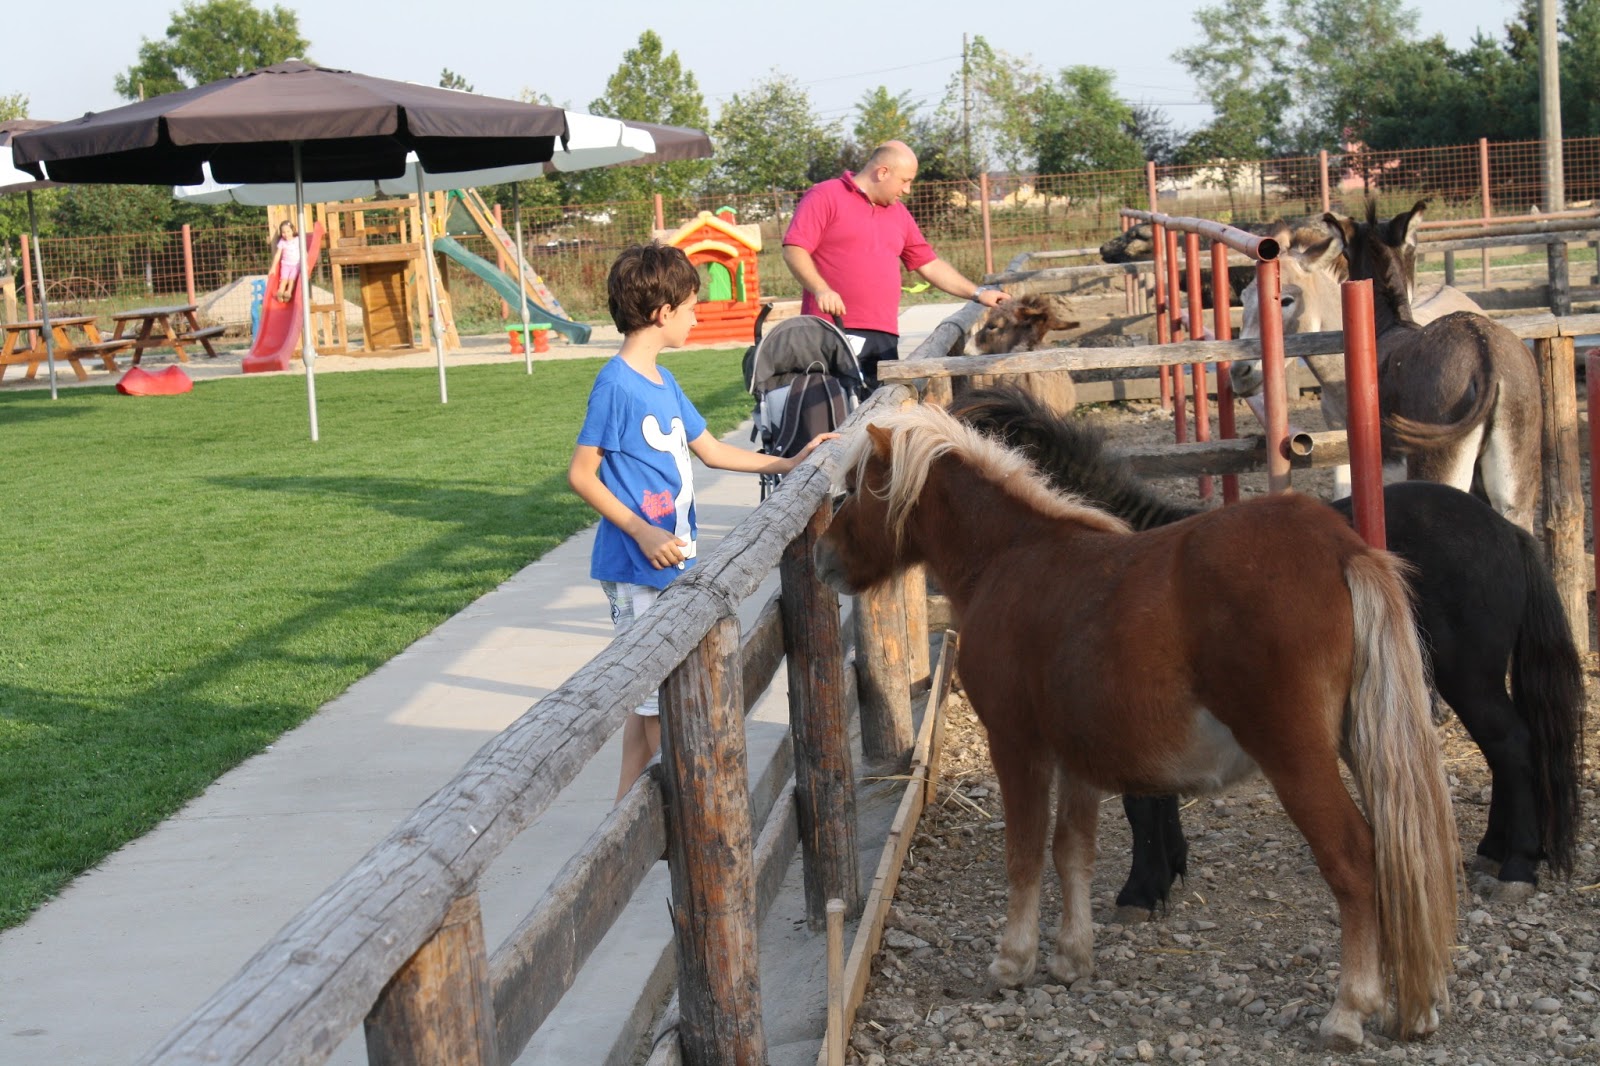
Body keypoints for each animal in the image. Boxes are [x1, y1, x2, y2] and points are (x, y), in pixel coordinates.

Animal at [819, 404, 1459, 1043]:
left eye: (853, 489)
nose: (825, 561)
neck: (1009, 557)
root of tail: (1340, 548)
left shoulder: (1017, 745)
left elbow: (1024, 853)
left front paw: (1012, 960)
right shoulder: (1075, 756)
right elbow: (1072, 850)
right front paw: (1071, 957)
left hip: (1297, 758)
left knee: (1355, 859)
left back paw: (1349, 1008)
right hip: (1361, 746)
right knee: (1403, 859)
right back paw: (1417, 1005)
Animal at [947, 385, 1587, 902]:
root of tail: (1504, 531)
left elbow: (1141, 801)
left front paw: (1143, 889)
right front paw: (1168, 872)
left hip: (1467, 674)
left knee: (1512, 745)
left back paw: (1517, 866)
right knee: (1508, 751)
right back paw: (1495, 850)